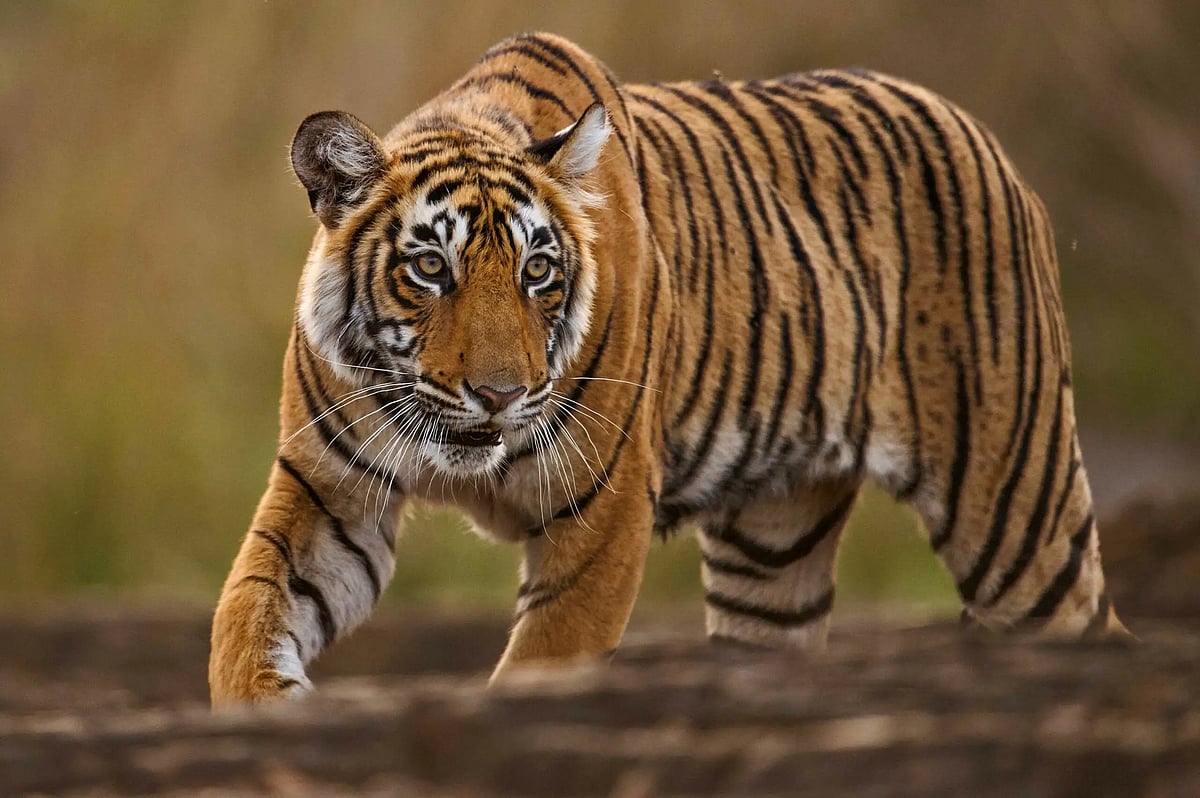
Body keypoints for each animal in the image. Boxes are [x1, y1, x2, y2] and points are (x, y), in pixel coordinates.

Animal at [209, 32, 1128, 706]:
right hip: (773, 548)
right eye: (431, 268)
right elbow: (245, 611)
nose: (501, 395)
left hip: (1012, 505)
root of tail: (976, 131)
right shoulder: (330, 490)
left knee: (1087, 623)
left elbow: (544, 660)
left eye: (537, 272)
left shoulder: (603, 515)